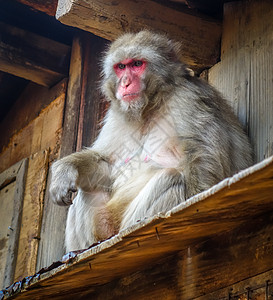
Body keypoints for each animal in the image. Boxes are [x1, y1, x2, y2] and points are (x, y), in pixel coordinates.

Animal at [49, 30, 251, 252]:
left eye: (137, 64)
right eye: (121, 67)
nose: (125, 83)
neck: (149, 106)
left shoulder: (189, 99)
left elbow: (203, 155)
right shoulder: (116, 115)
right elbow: (108, 165)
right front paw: (65, 170)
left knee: (172, 178)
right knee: (87, 192)